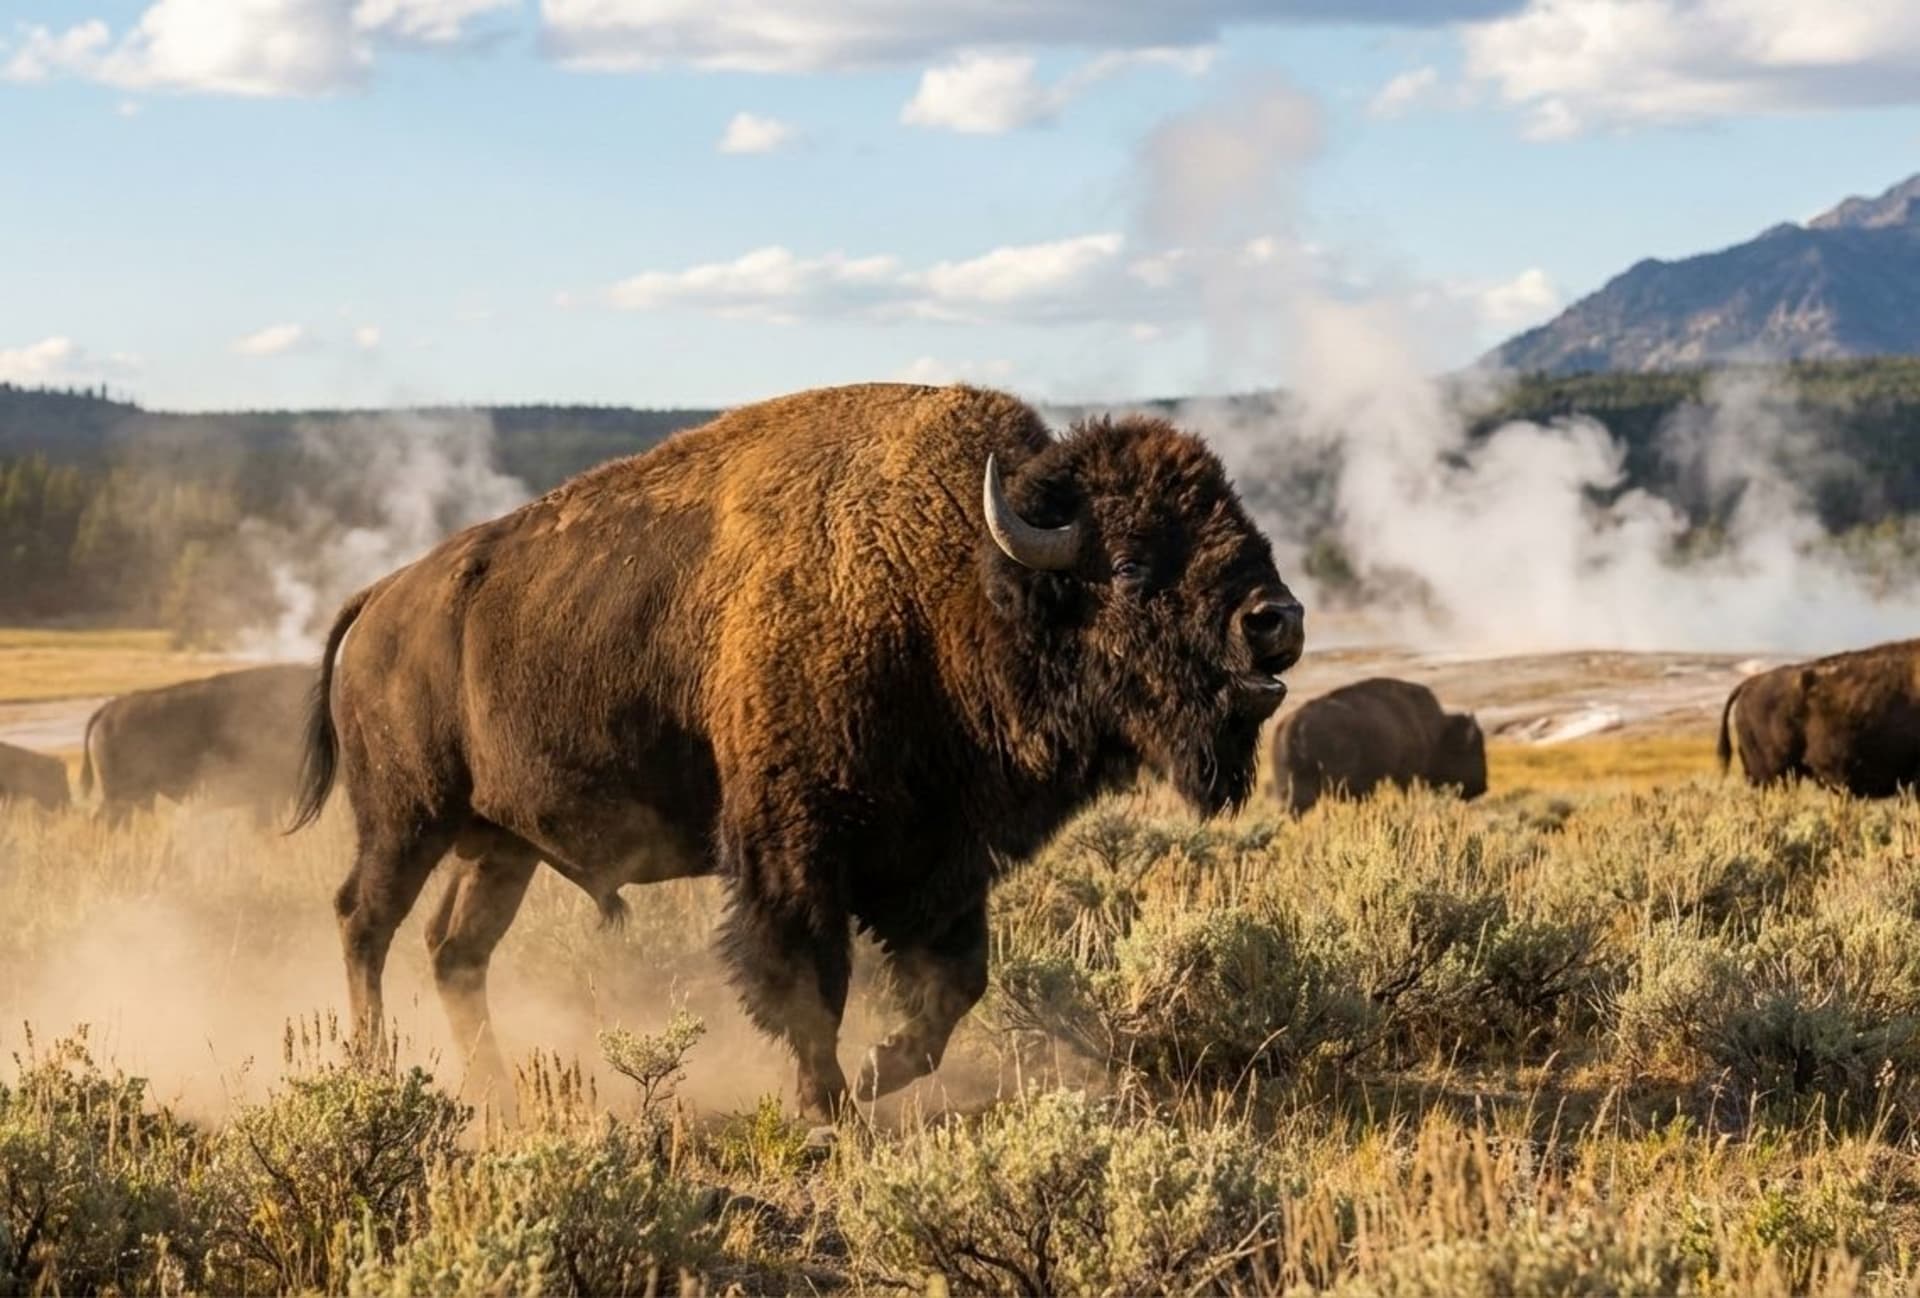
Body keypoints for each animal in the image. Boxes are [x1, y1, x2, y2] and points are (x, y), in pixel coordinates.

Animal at [290, 382, 1304, 1119]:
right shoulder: (794, 852)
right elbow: (810, 985)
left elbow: (952, 989)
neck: (953, 581)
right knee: (361, 921)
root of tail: (382, 598)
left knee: (453, 949)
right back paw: (373, 1068)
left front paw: (877, 1076)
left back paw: (496, 1087)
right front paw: (829, 1107)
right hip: (405, 820)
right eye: (1130, 565)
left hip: (501, 848)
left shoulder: (943, 862)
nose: (1277, 620)